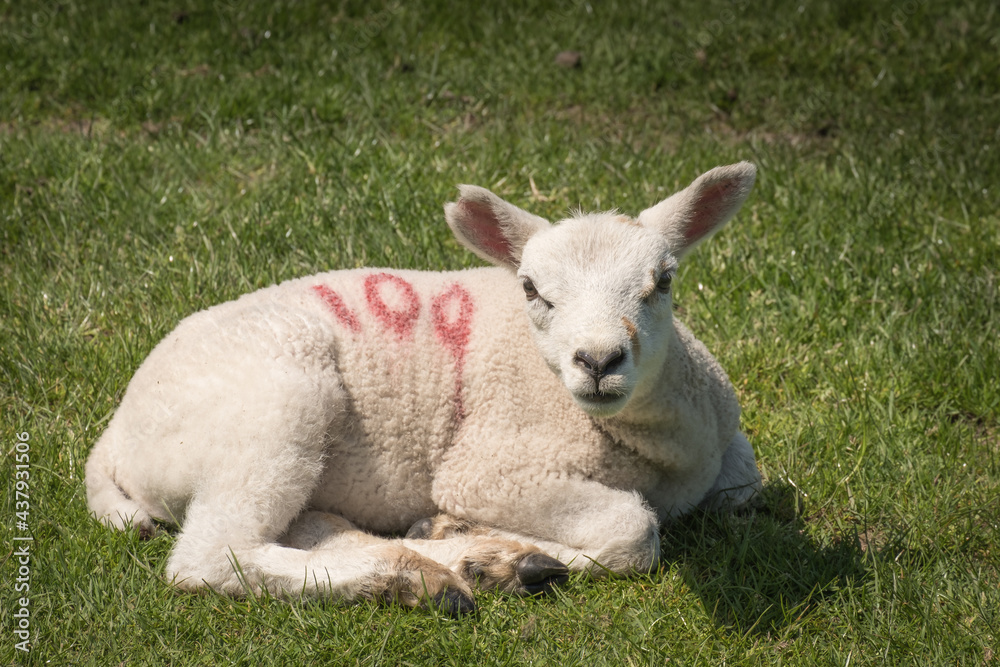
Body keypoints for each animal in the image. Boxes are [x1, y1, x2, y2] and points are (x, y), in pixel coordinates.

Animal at [86, 161, 762, 616]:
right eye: (531, 289)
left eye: (664, 280)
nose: (599, 360)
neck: (661, 447)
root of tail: (113, 439)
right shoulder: (494, 467)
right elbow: (631, 532)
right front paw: (505, 544)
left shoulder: (732, 459)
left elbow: (742, 490)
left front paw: (465, 540)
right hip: (275, 405)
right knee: (210, 557)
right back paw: (436, 571)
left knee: (307, 522)